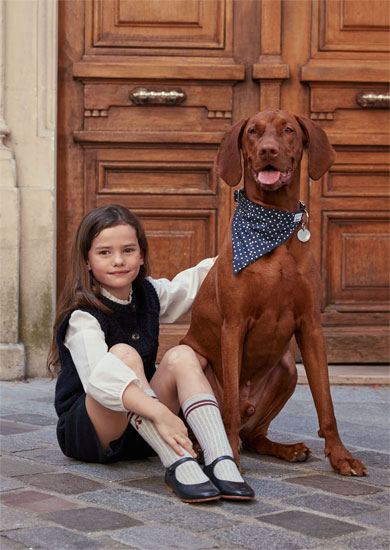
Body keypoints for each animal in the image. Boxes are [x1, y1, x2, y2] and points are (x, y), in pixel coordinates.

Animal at [181, 110, 368, 476]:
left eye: (289, 130)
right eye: (253, 132)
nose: (268, 150)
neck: (272, 224)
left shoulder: (311, 325)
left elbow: (326, 401)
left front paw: (341, 456)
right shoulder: (233, 325)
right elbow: (228, 406)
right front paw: (230, 460)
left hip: (287, 370)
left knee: (255, 435)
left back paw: (285, 449)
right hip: (196, 360)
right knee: (223, 421)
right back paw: (205, 446)